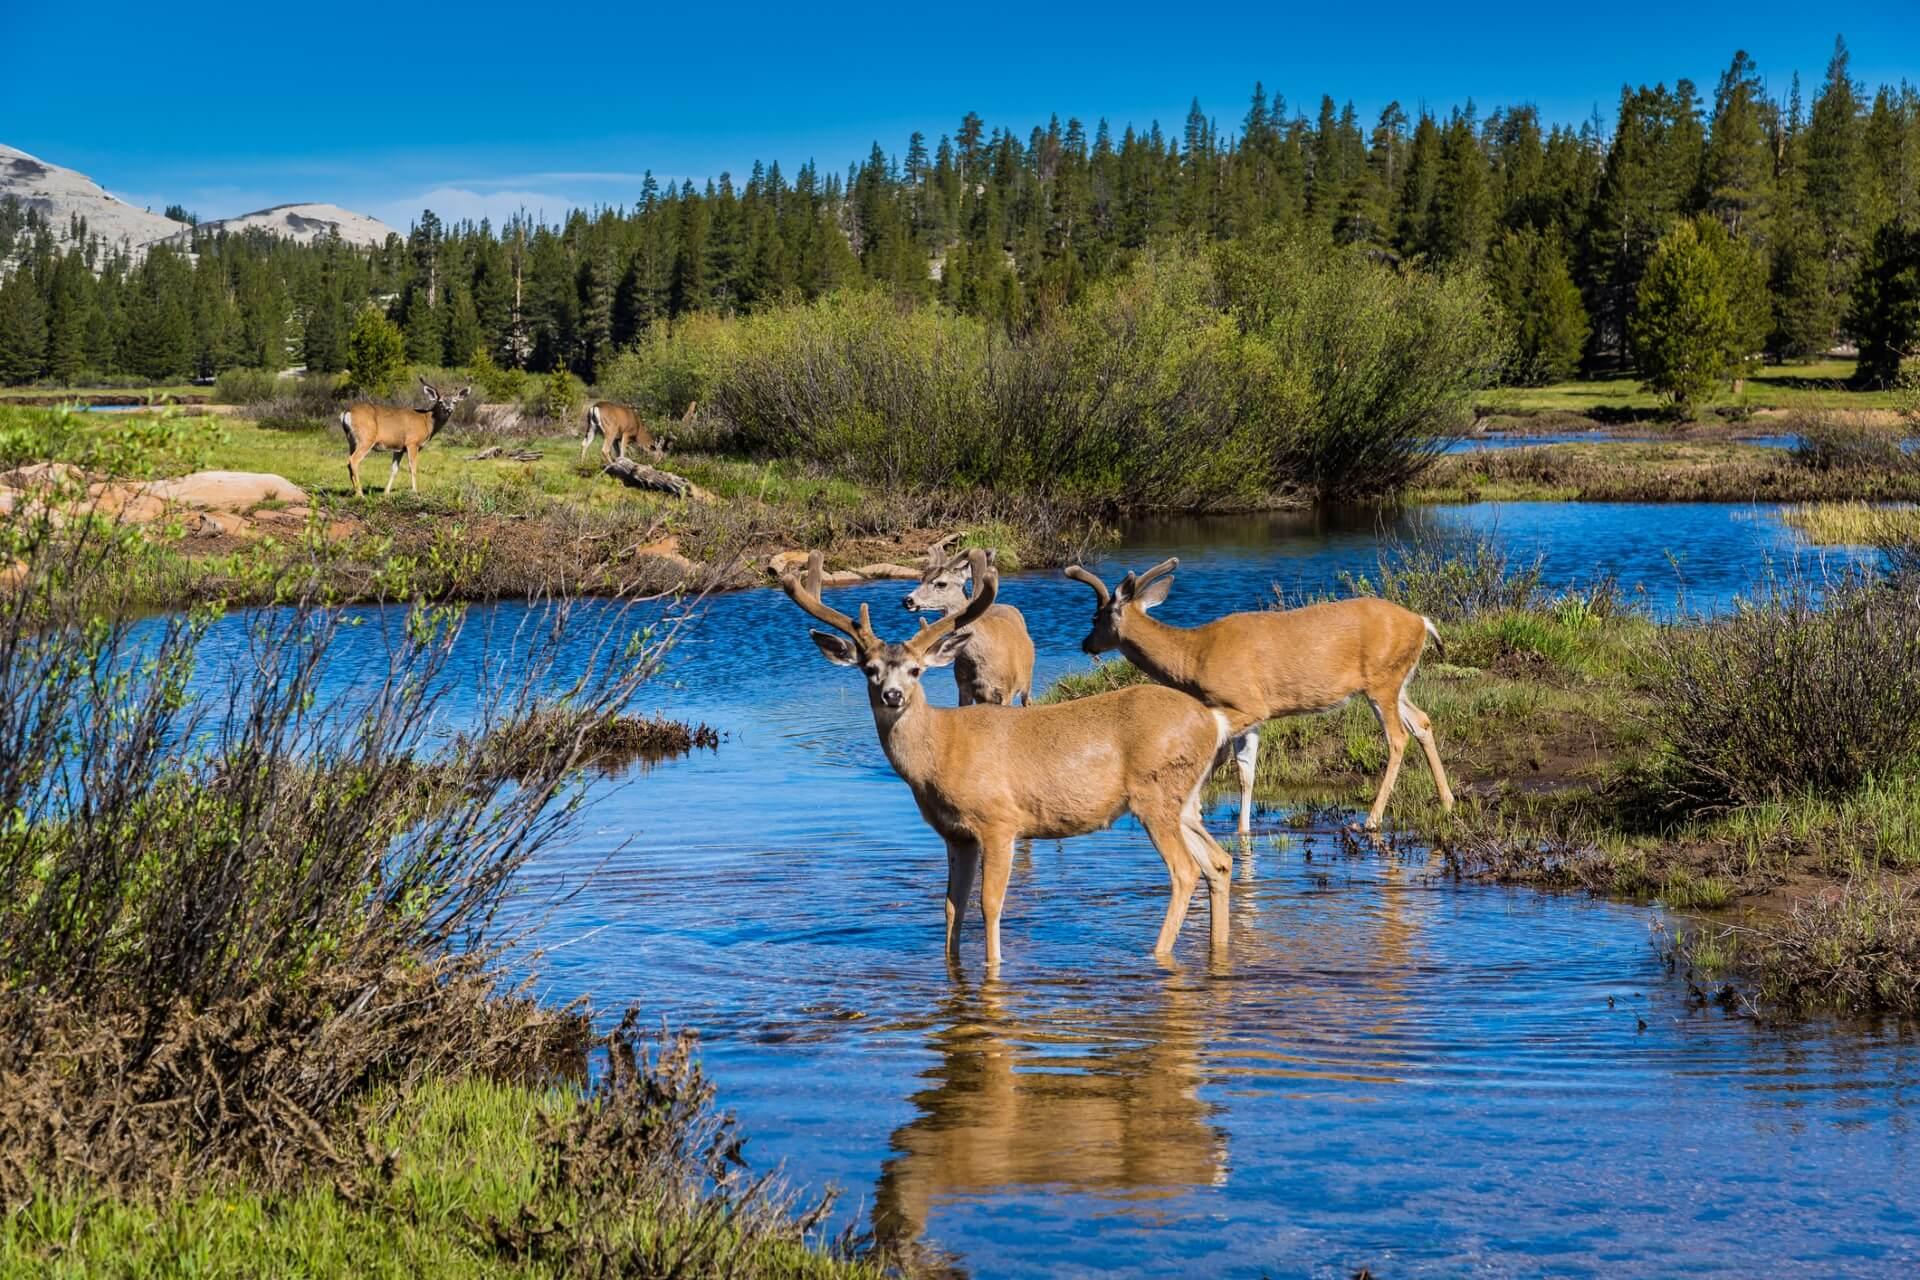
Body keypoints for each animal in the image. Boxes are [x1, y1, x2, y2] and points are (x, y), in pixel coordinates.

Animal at [340, 379, 469, 496]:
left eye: (455, 402)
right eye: (440, 402)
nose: (448, 410)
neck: (426, 422)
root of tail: (346, 413)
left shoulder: (399, 448)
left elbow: (394, 469)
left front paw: (386, 492)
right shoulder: (412, 443)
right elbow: (413, 467)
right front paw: (415, 491)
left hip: (352, 440)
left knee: (349, 462)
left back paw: (355, 492)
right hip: (366, 438)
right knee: (353, 460)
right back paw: (360, 494)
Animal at [901, 535, 1035, 706]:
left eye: (941, 583)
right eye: (921, 579)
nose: (907, 600)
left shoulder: (1005, 691)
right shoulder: (963, 688)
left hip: (1027, 681)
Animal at [1064, 558, 1455, 835]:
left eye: (1095, 616)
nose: (1086, 644)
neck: (1194, 654)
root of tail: (1422, 622)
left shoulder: (1244, 703)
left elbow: (1223, 758)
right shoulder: (1250, 716)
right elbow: (1245, 771)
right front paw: (1241, 830)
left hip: (1382, 682)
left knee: (1398, 737)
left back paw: (1371, 820)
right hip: (1397, 681)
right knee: (1422, 721)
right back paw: (1448, 802)